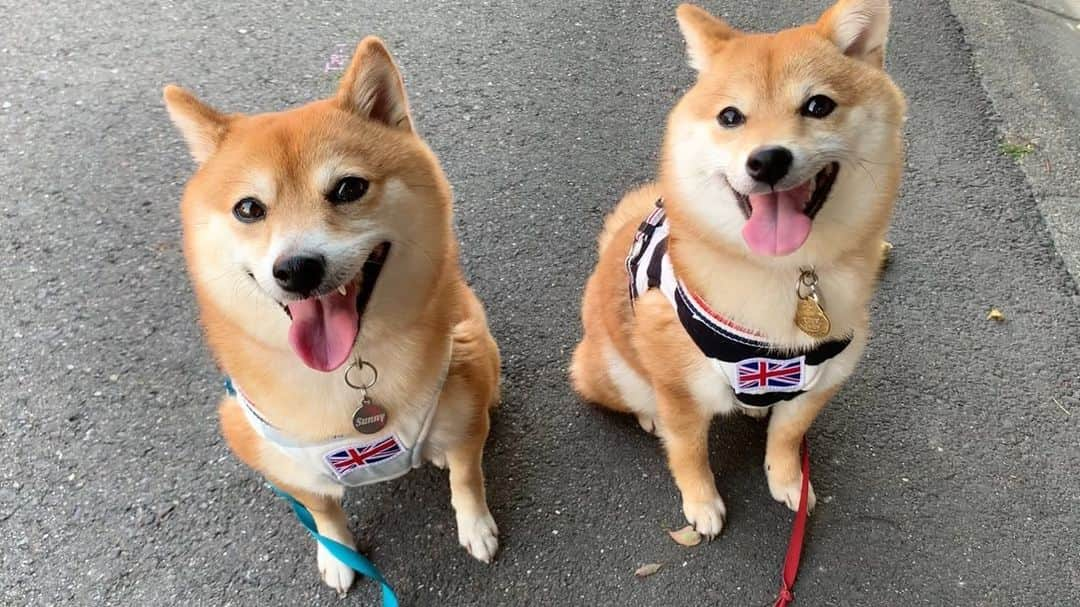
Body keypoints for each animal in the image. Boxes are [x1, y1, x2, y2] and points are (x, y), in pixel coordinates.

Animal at [164, 37, 501, 591]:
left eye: (348, 188)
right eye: (249, 209)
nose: (297, 268)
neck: (350, 373)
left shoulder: (466, 400)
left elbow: (467, 476)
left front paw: (475, 526)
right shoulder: (285, 465)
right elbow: (322, 511)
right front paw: (339, 555)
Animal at [570, 2, 907, 535]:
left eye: (818, 106)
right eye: (730, 117)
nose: (767, 159)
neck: (787, 275)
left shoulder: (819, 381)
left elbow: (787, 438)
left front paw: (788, 480)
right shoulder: (680, 390)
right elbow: (688, 454)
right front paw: (701, 503)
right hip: (611, 369)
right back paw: (650, 415)